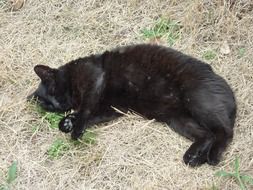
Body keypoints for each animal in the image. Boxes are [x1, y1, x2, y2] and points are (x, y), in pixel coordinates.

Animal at [28, 43, 237, 166]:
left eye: (53, 90)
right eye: (48, 106)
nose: (57, 104)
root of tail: (230, 95)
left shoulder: (94, 78)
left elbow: (86, 109)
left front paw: (75, 129)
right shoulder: (111, 110)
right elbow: (89, 115)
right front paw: (67, 122)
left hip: (197, 101)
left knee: (224, 131)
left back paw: (212, 157)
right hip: (178, 120)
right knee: (207, 134)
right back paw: (193, 157)